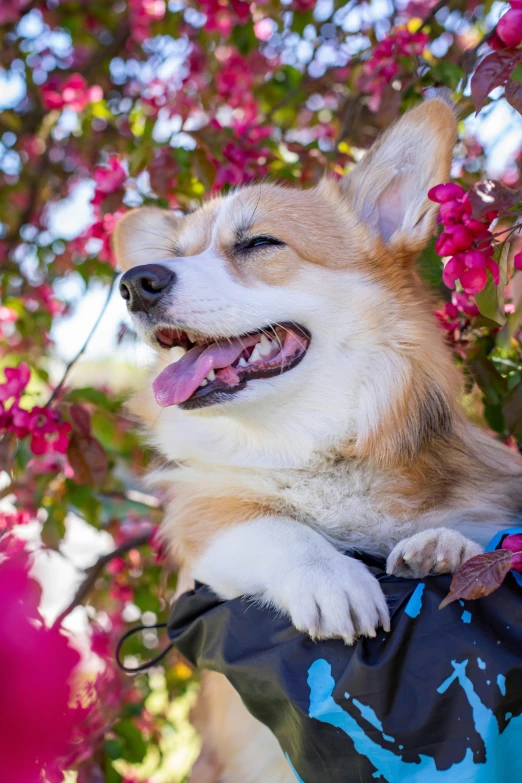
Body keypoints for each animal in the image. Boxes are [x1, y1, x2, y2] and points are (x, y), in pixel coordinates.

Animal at [112, 101, 520, 780]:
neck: (314, 442)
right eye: (175, 253)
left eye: (258, 243)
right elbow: (270, 526)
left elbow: (475, 537)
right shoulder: (203, 532)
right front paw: (333, 578)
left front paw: (443, 546)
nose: (133, 282)